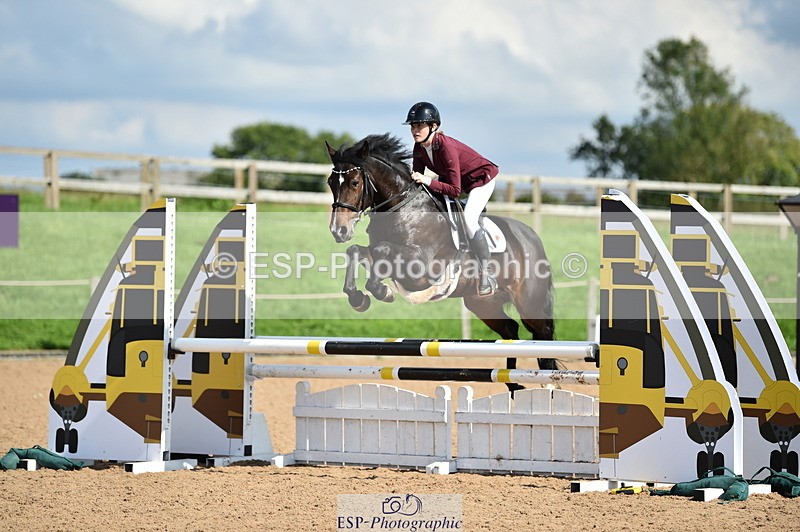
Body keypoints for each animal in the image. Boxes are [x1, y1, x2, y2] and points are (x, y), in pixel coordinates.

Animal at [324, 133, 557, 389]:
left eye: (355, 183)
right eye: (330, 183)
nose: (338, 231)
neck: (402, 208)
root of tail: (531, 237)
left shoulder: (421, 270)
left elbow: (382, 250)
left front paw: (380, 291)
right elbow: (357, 251)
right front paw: (359, 298)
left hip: (529, 303)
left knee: (543, 334)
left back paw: (549, 384)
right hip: (482, 304)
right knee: (511, 331)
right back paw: (513, 384)